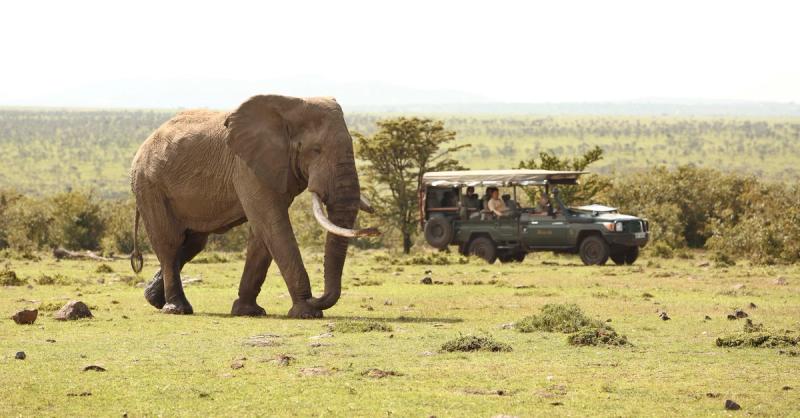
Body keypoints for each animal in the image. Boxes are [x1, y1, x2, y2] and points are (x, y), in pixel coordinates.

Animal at [129, 95, 378, 319]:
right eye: (315, 150)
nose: (374, 230)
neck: (290, 105)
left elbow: (262, 233)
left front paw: (248, 312)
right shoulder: (247, 168)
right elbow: (273, 225)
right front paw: (307, 313)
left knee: (193, 244)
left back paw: (153, 299)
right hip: (149, 185)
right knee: (170, 243)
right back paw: (177, 309)